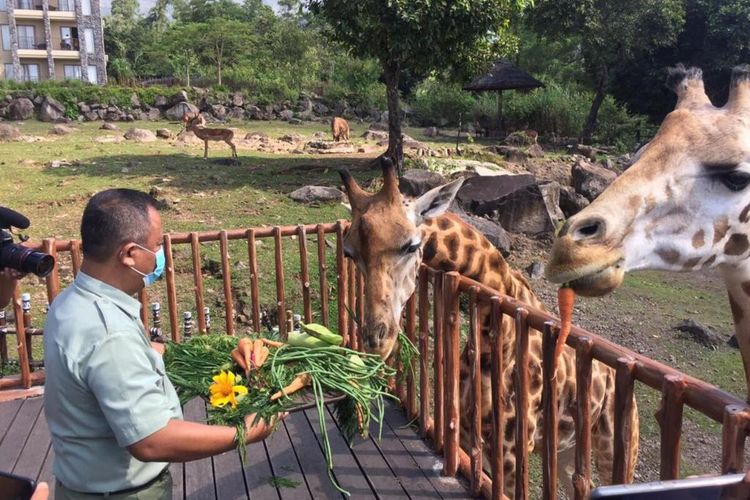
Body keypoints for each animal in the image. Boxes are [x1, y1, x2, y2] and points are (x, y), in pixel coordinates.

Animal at [340, 161, 640, 496]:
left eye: (411, 245)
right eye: (349, 252)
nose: (376, 339)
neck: (490, 344)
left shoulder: (511, 455)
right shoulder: (473, 439)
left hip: (616, 451)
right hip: (566, 451)